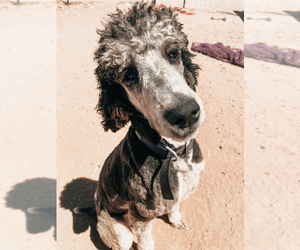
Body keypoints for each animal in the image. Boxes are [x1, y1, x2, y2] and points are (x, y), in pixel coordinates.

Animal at [78, 0, 205, 249]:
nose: (185, 113)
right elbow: (145, 241)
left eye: (173, 54)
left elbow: (175, 206)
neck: (173, 155)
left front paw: (176, 219)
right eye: (129, 75)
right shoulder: (142, 216)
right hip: (120, 233)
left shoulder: (177, 196)